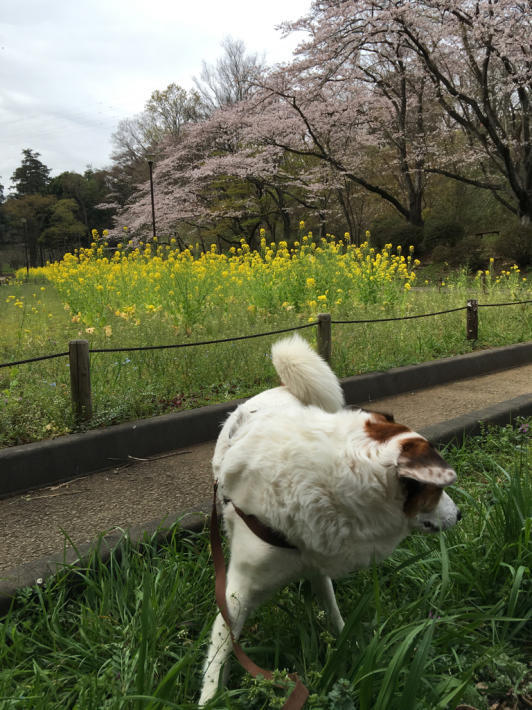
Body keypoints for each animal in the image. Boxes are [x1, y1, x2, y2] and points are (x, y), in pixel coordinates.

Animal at [200, 336, 462, 708]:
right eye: (437, 491)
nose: (460, 514)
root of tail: (281, 386)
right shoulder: (235, 594)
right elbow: (219, 654)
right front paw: (209, 698)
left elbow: (333, 609)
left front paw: (347, 643)